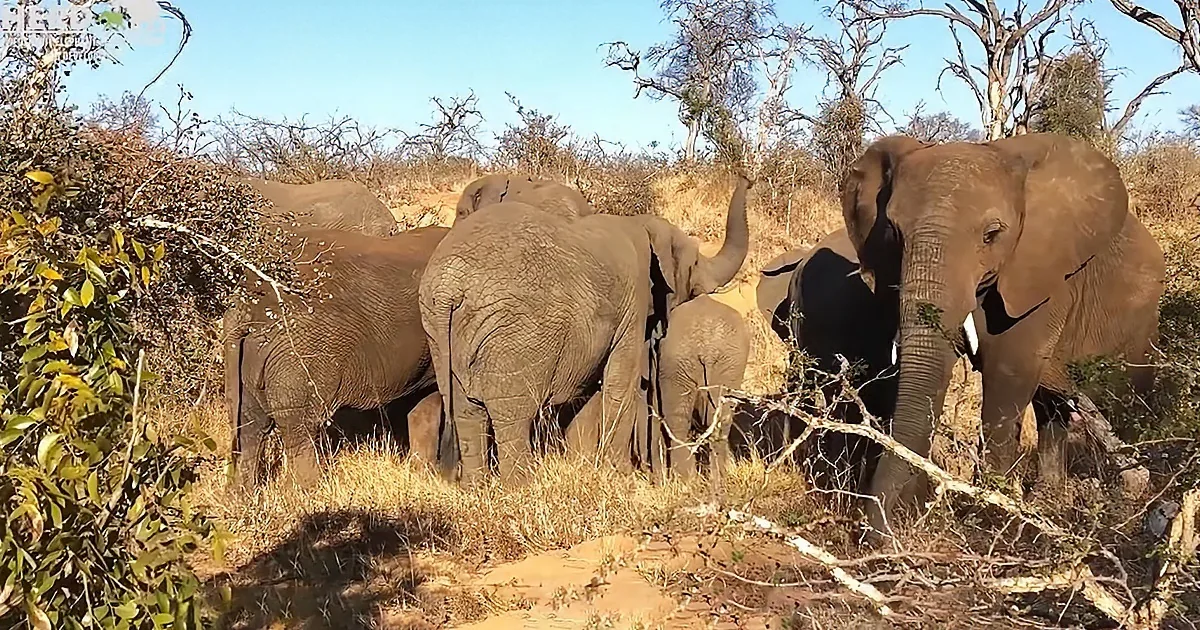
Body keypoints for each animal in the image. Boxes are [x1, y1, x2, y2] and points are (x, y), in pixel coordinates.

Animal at [225, 225, 450, 489]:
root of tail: (247, 305)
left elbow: (426, 403)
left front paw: (423, 478)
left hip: (251, 355)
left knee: (250, 423)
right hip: (301, 354)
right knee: (301, 424)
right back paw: (306, 491)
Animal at [654, 295, 750, 480]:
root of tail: (709, 349)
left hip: (678, 362)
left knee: (677, 419)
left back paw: (685, 480)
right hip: (727, 363)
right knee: (720, 417)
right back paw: (715, 476)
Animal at [839, 132, 1165, 539]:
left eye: (991, 235)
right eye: (894, 233)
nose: (879, 533)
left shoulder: (1044, 275)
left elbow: (1008, 372)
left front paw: (987, 518)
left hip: (1142, 321)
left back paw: (1128, 496)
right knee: (1051, 408)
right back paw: (1049, 500)